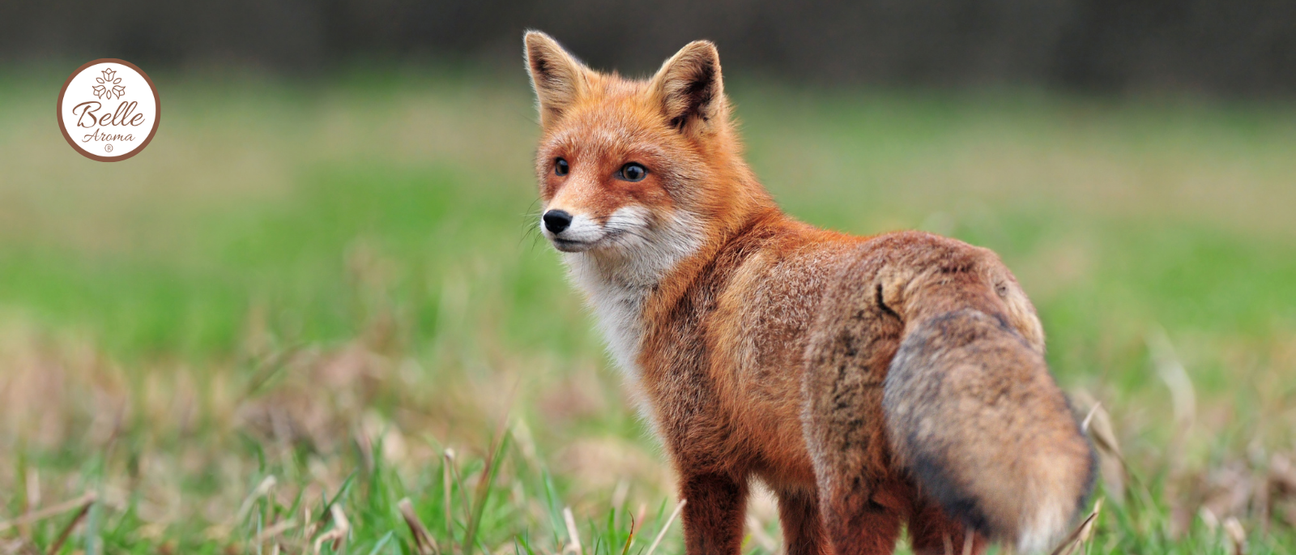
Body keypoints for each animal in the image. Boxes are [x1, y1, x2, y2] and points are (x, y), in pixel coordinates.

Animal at [523, 31, 1096, 555]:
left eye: (632, 172)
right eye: (561, 167)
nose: (556, 220)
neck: (705, 262)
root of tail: (947, 268)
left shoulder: (706, 461)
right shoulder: (796, 484)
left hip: (857, 496)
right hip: (938, 503)